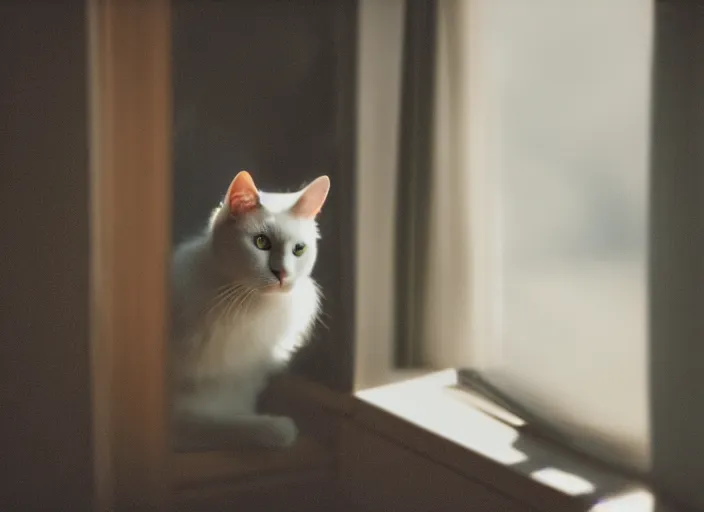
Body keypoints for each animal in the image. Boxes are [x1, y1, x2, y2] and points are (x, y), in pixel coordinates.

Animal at [170, 171, 330, 448]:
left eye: (299, 249)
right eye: (261, 242)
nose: (282, 274)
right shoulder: (177, 415)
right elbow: (222, 425)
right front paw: (276, 428)